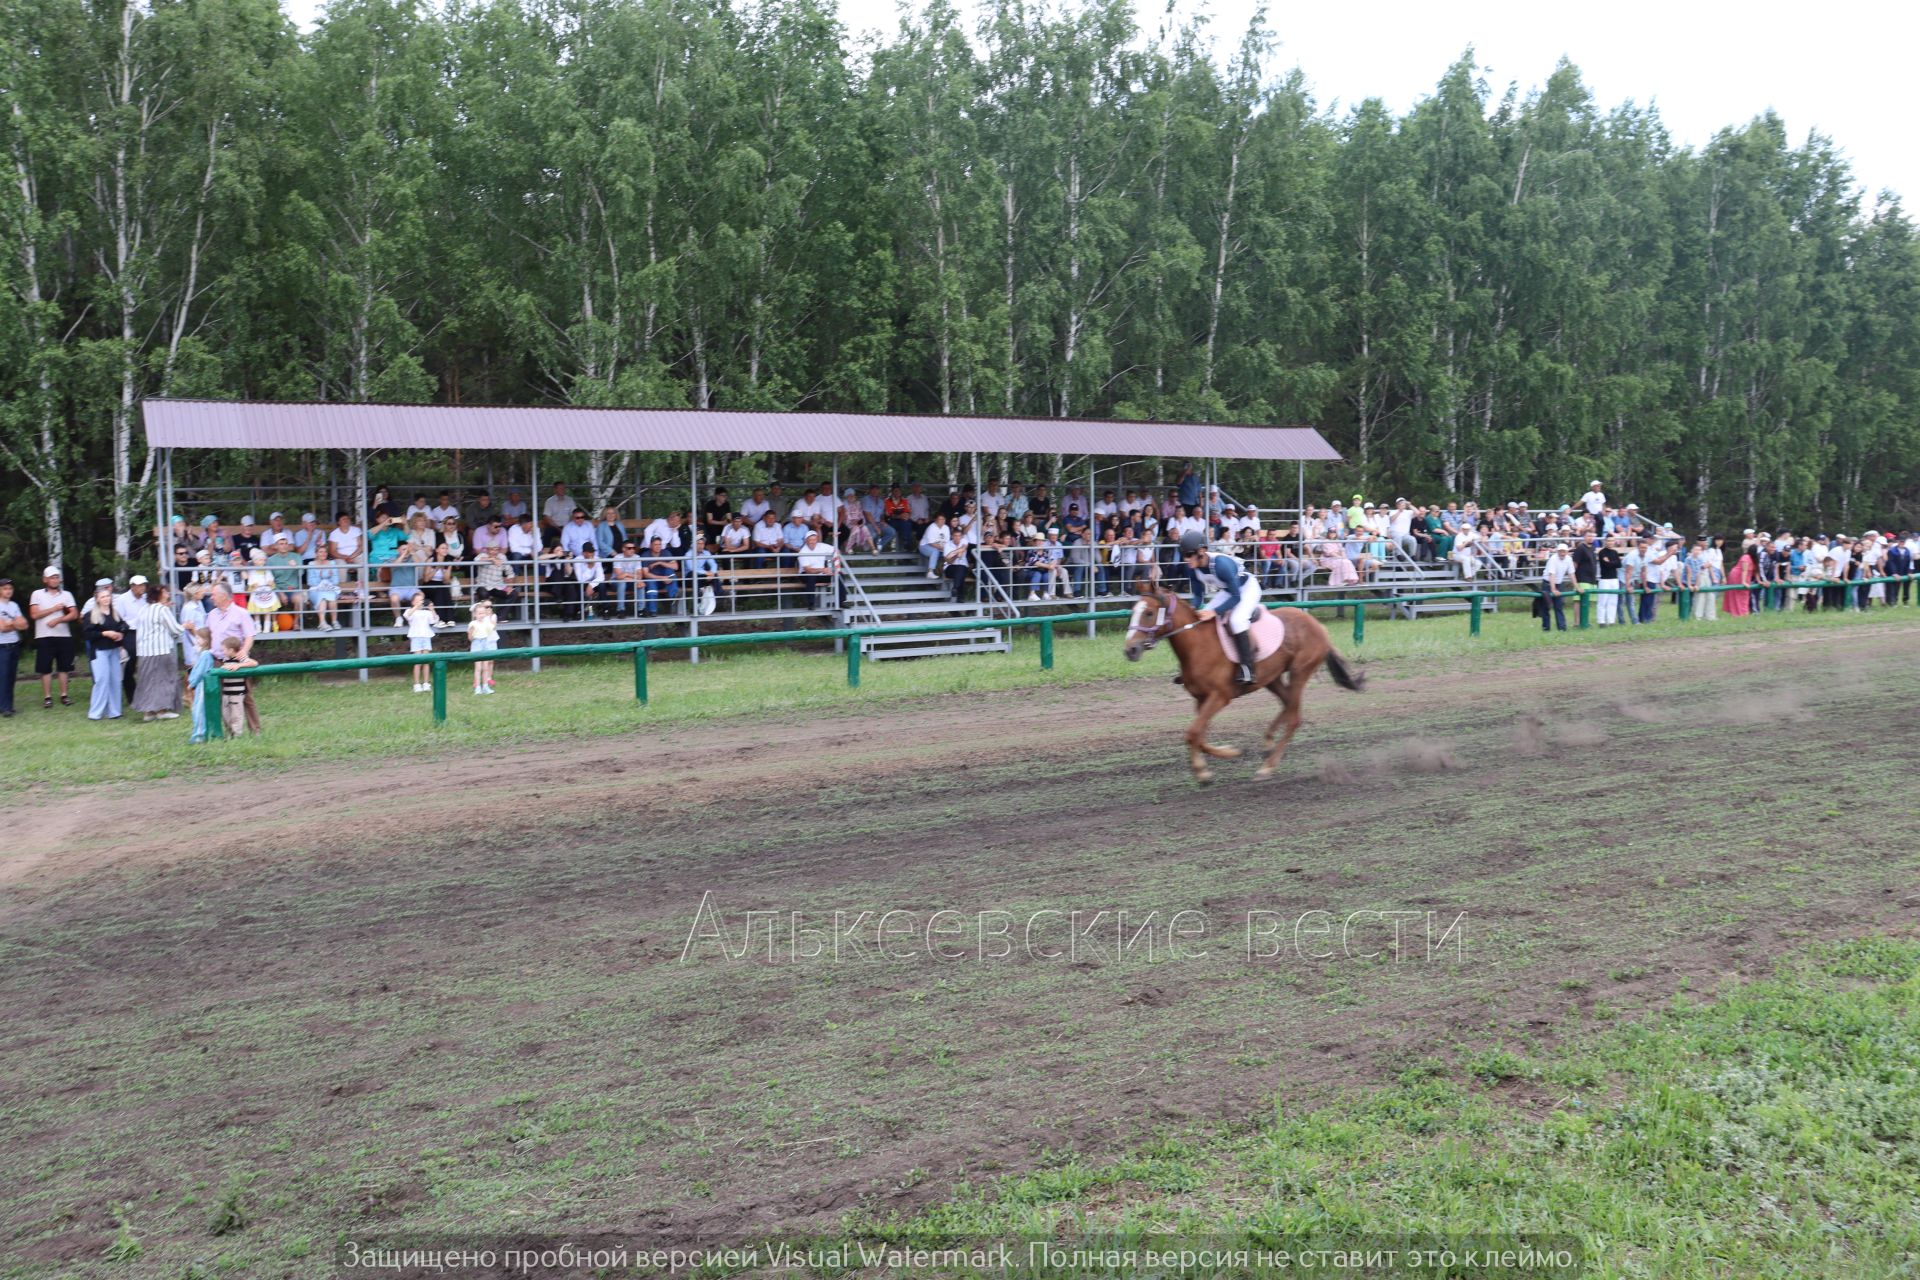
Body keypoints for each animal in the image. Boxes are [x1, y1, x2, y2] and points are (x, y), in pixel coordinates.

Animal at [1121, 579, 1374, 782]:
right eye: (1133, 610)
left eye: (1149, 612)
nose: (1130, 650)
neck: (1198, 646)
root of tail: (1318, 626)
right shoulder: (1201, 698)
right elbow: (1198, 735)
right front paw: (1228, 753)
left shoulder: (1220, 696)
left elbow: (1193, 733)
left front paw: (1203, 772)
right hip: (1272, 677)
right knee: (1287, 705)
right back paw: (1268, 744)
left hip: (1300, 671)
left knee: (1294, 717)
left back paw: (1267, 767)